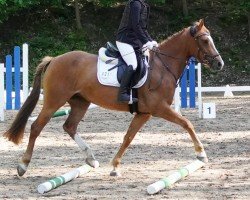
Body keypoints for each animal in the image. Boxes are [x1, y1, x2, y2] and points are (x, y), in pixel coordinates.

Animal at [3, 19, 223, 177]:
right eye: (205, 41)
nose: (219, 64)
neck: (162, 66)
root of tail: (54, 59)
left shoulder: (144, 113)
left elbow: (128, 137)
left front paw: (115, 166)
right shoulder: (159, 108)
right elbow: (187, 124)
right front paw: (201, 154)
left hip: (80, 102)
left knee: (69, 126)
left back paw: (91, 159)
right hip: (54, 101)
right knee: (36, 127)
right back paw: (23, 166)